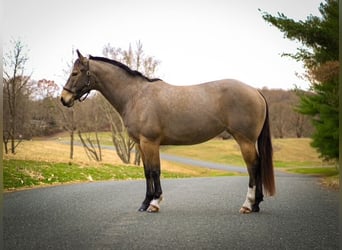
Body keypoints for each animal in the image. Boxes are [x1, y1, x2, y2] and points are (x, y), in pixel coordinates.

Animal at [60, 49, 276, 214]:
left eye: (76, 73)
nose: (64, 99)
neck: (135, 96)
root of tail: (255, 91)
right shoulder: (140, 144)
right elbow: (147, 172)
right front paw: (145, 203)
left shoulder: (150, 142)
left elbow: (155, 171)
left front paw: (154, 203)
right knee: (257, 166)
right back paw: (256, 204)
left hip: (244, 140)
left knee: (253, 167)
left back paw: (248, 205)